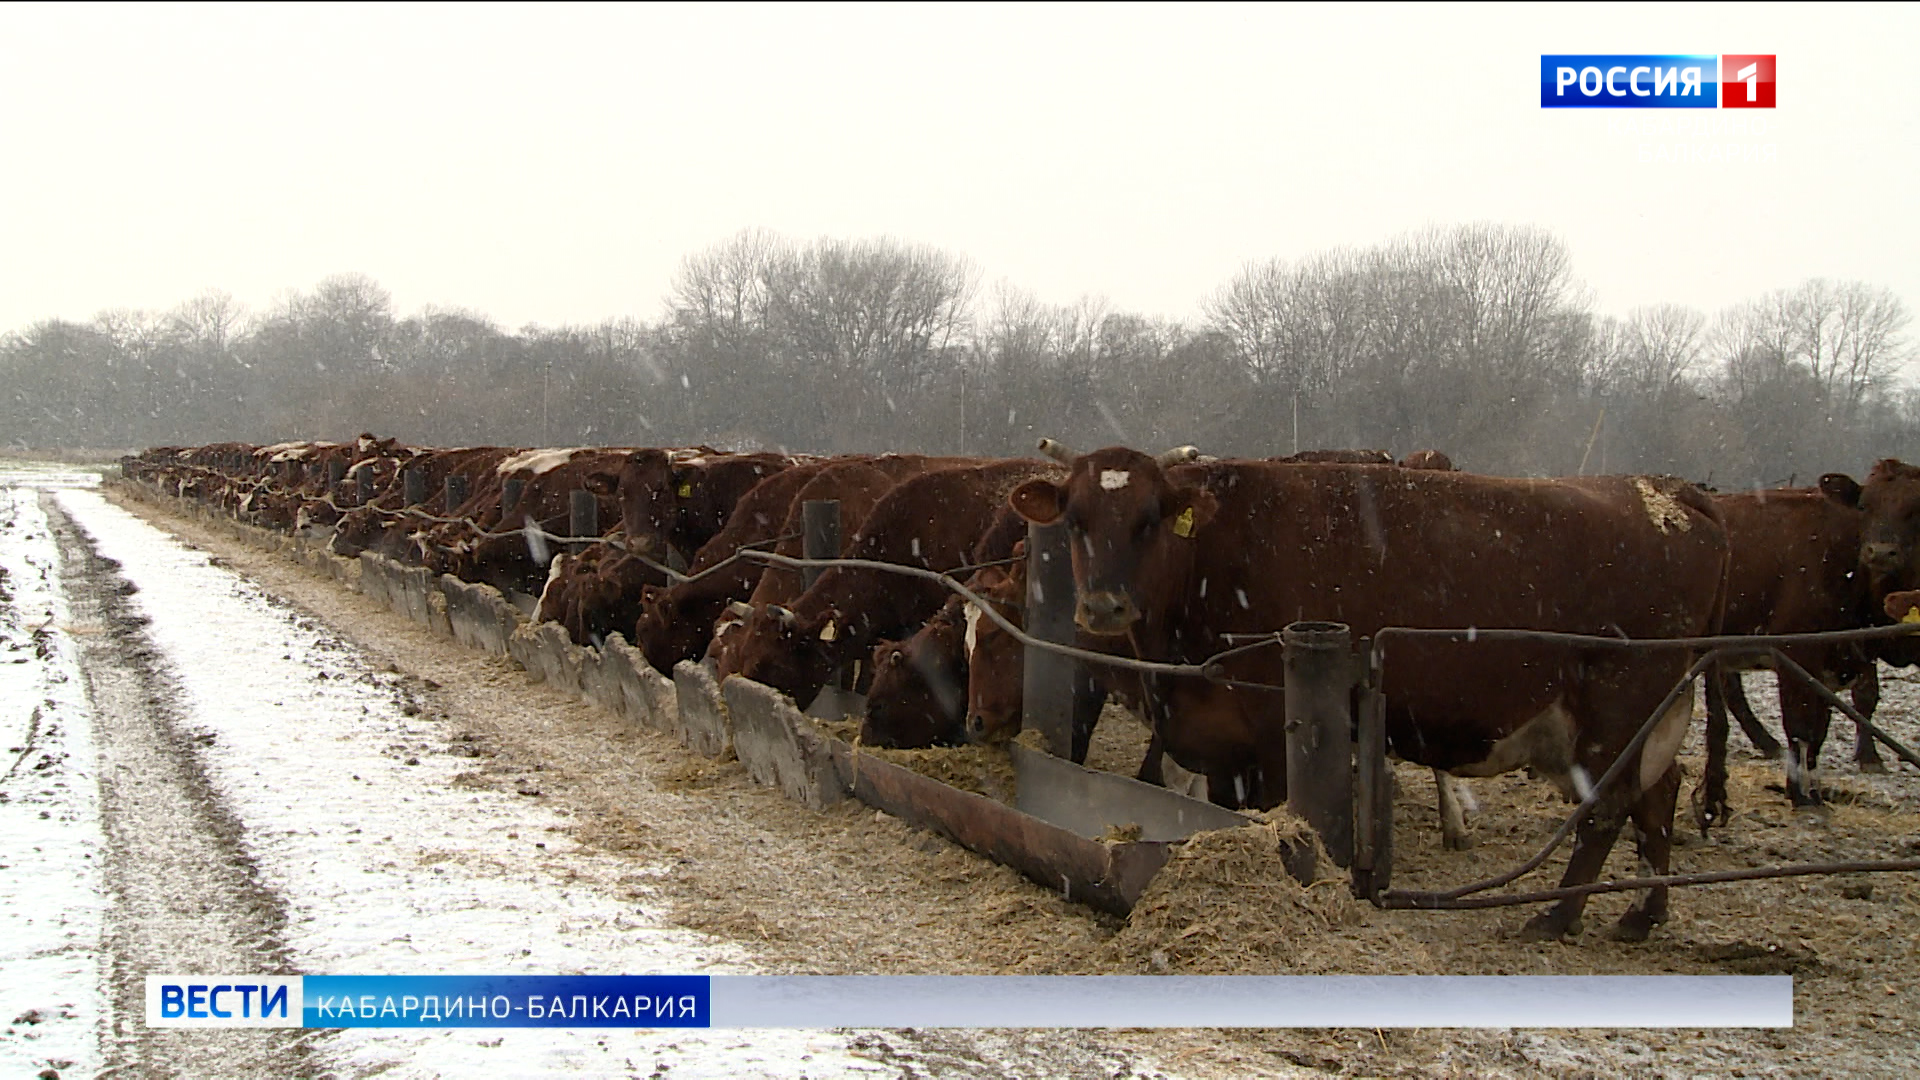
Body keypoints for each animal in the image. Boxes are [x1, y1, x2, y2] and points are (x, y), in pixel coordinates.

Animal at [1013, 441, 1735, 937]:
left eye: (1149, 520)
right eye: (1075, 521)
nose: (1103, 606)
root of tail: (1665, 492)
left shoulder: (1272, 733)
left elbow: (1278, 818)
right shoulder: (1222, 743)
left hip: (1620, 700)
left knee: (1608, 808)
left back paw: (1557, 918)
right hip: (1643, 716)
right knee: (1657, 795)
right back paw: (1643, 913)